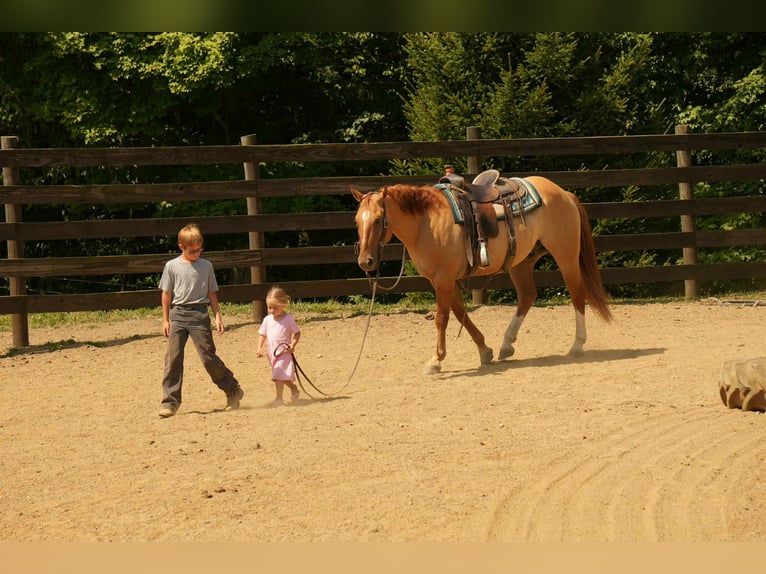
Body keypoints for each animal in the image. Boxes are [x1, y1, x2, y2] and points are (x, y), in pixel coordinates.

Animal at [352, 173, 612, 374]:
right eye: (356, 220)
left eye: (378, 219)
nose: (366, 261)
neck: (427, 222)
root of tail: (563, 193)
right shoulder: (443, 280)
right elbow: (461, 314)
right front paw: (484, 351)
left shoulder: (443, 278)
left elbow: (442, 318)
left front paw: (435, 361)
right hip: (522, 262)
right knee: (527, 295)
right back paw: (506, 344)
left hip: (565, 255)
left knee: (577, 294)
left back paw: (577, 345)